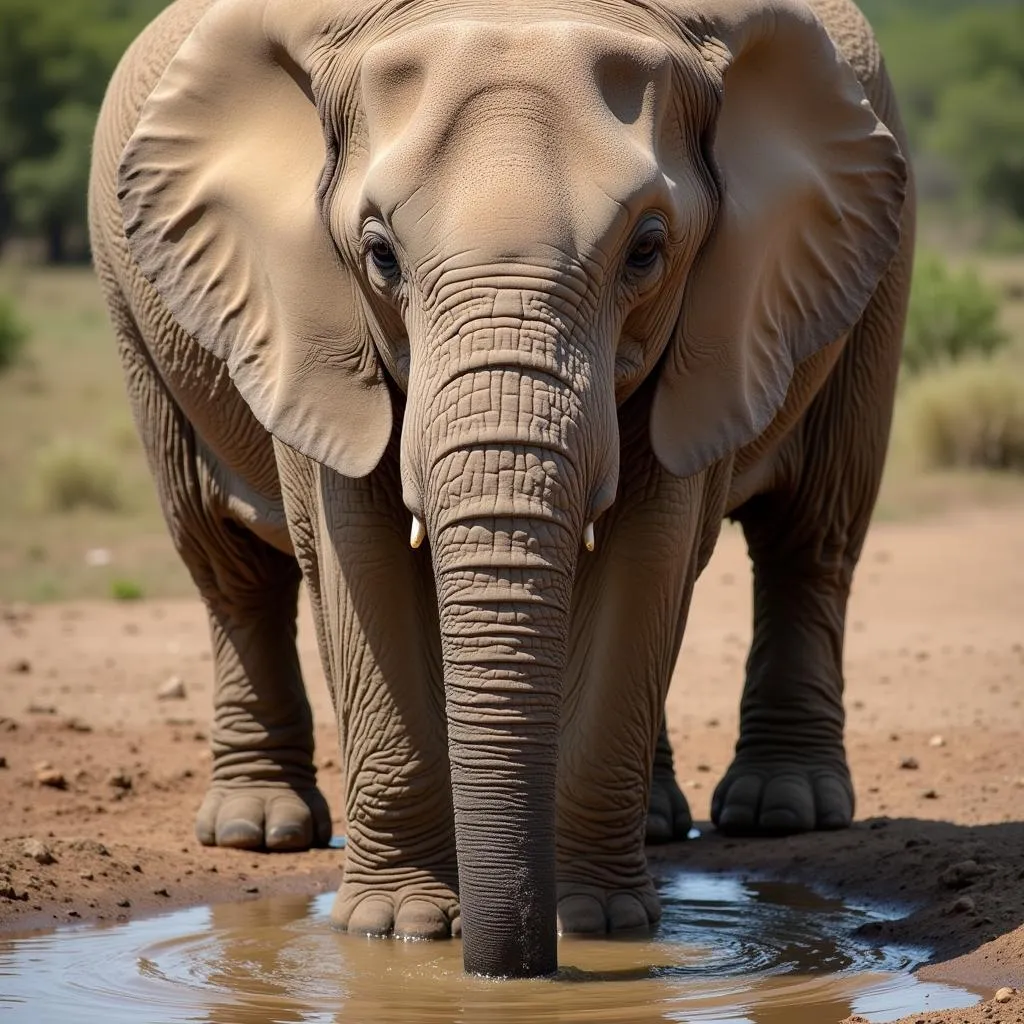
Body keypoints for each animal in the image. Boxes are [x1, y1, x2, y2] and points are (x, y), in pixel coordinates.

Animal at [92, 0, 917, 978]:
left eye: (648, 251)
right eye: (379, 255)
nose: (503, 968)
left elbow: (650, 553)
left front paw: (594, 925)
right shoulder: (309, 312)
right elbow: (357, 553)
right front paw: (401, 928)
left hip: (876, 271)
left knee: (811, 536)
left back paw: (777, 813)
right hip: (137, 330)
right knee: (226, 565)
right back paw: (259, 833)